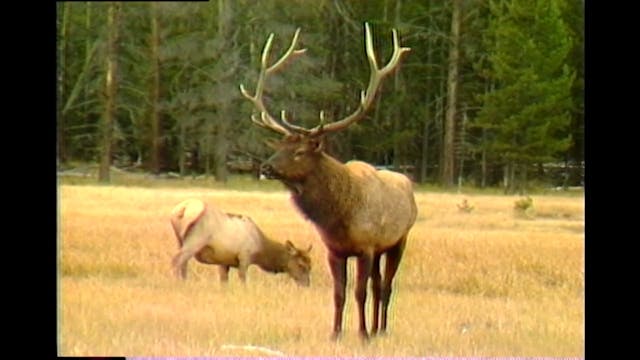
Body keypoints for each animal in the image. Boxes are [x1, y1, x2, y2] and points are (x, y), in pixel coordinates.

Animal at [169, 198, 312, 286]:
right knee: (177, 260)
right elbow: (243, 279)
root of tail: (183, 209)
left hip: (179, 240)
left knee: (183, 263)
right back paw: (177, 283)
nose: (307, 285)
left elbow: (224, 282)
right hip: (196, 238)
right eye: (300, 265)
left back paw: (184, 282)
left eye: (310, 266)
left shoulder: (223, 261)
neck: (260, 250)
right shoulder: (245, 256)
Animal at [239, 23, 416, 340]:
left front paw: (362, 335)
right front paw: (335, 333)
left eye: (299, 151)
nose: (266, 166)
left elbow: (359, 292)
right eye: (279, 146)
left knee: (385, 286)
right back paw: (376, 328)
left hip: (398, 240)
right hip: (381, 249)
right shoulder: (335, 250)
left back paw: (381, 330)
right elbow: (339, 293)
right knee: (377, 284)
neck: (339, 217)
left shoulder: (366, 247)